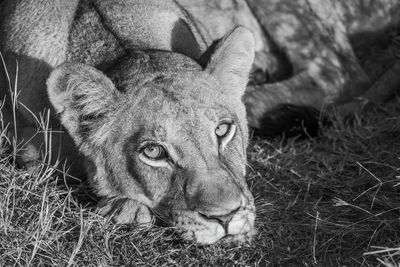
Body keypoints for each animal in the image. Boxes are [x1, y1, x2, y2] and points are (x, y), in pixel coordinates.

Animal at [0, 0, 398, 245]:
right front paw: (123, 205)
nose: (226, 218)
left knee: (338, 72)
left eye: (222, 131)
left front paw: (121, 205)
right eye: (153, 152)